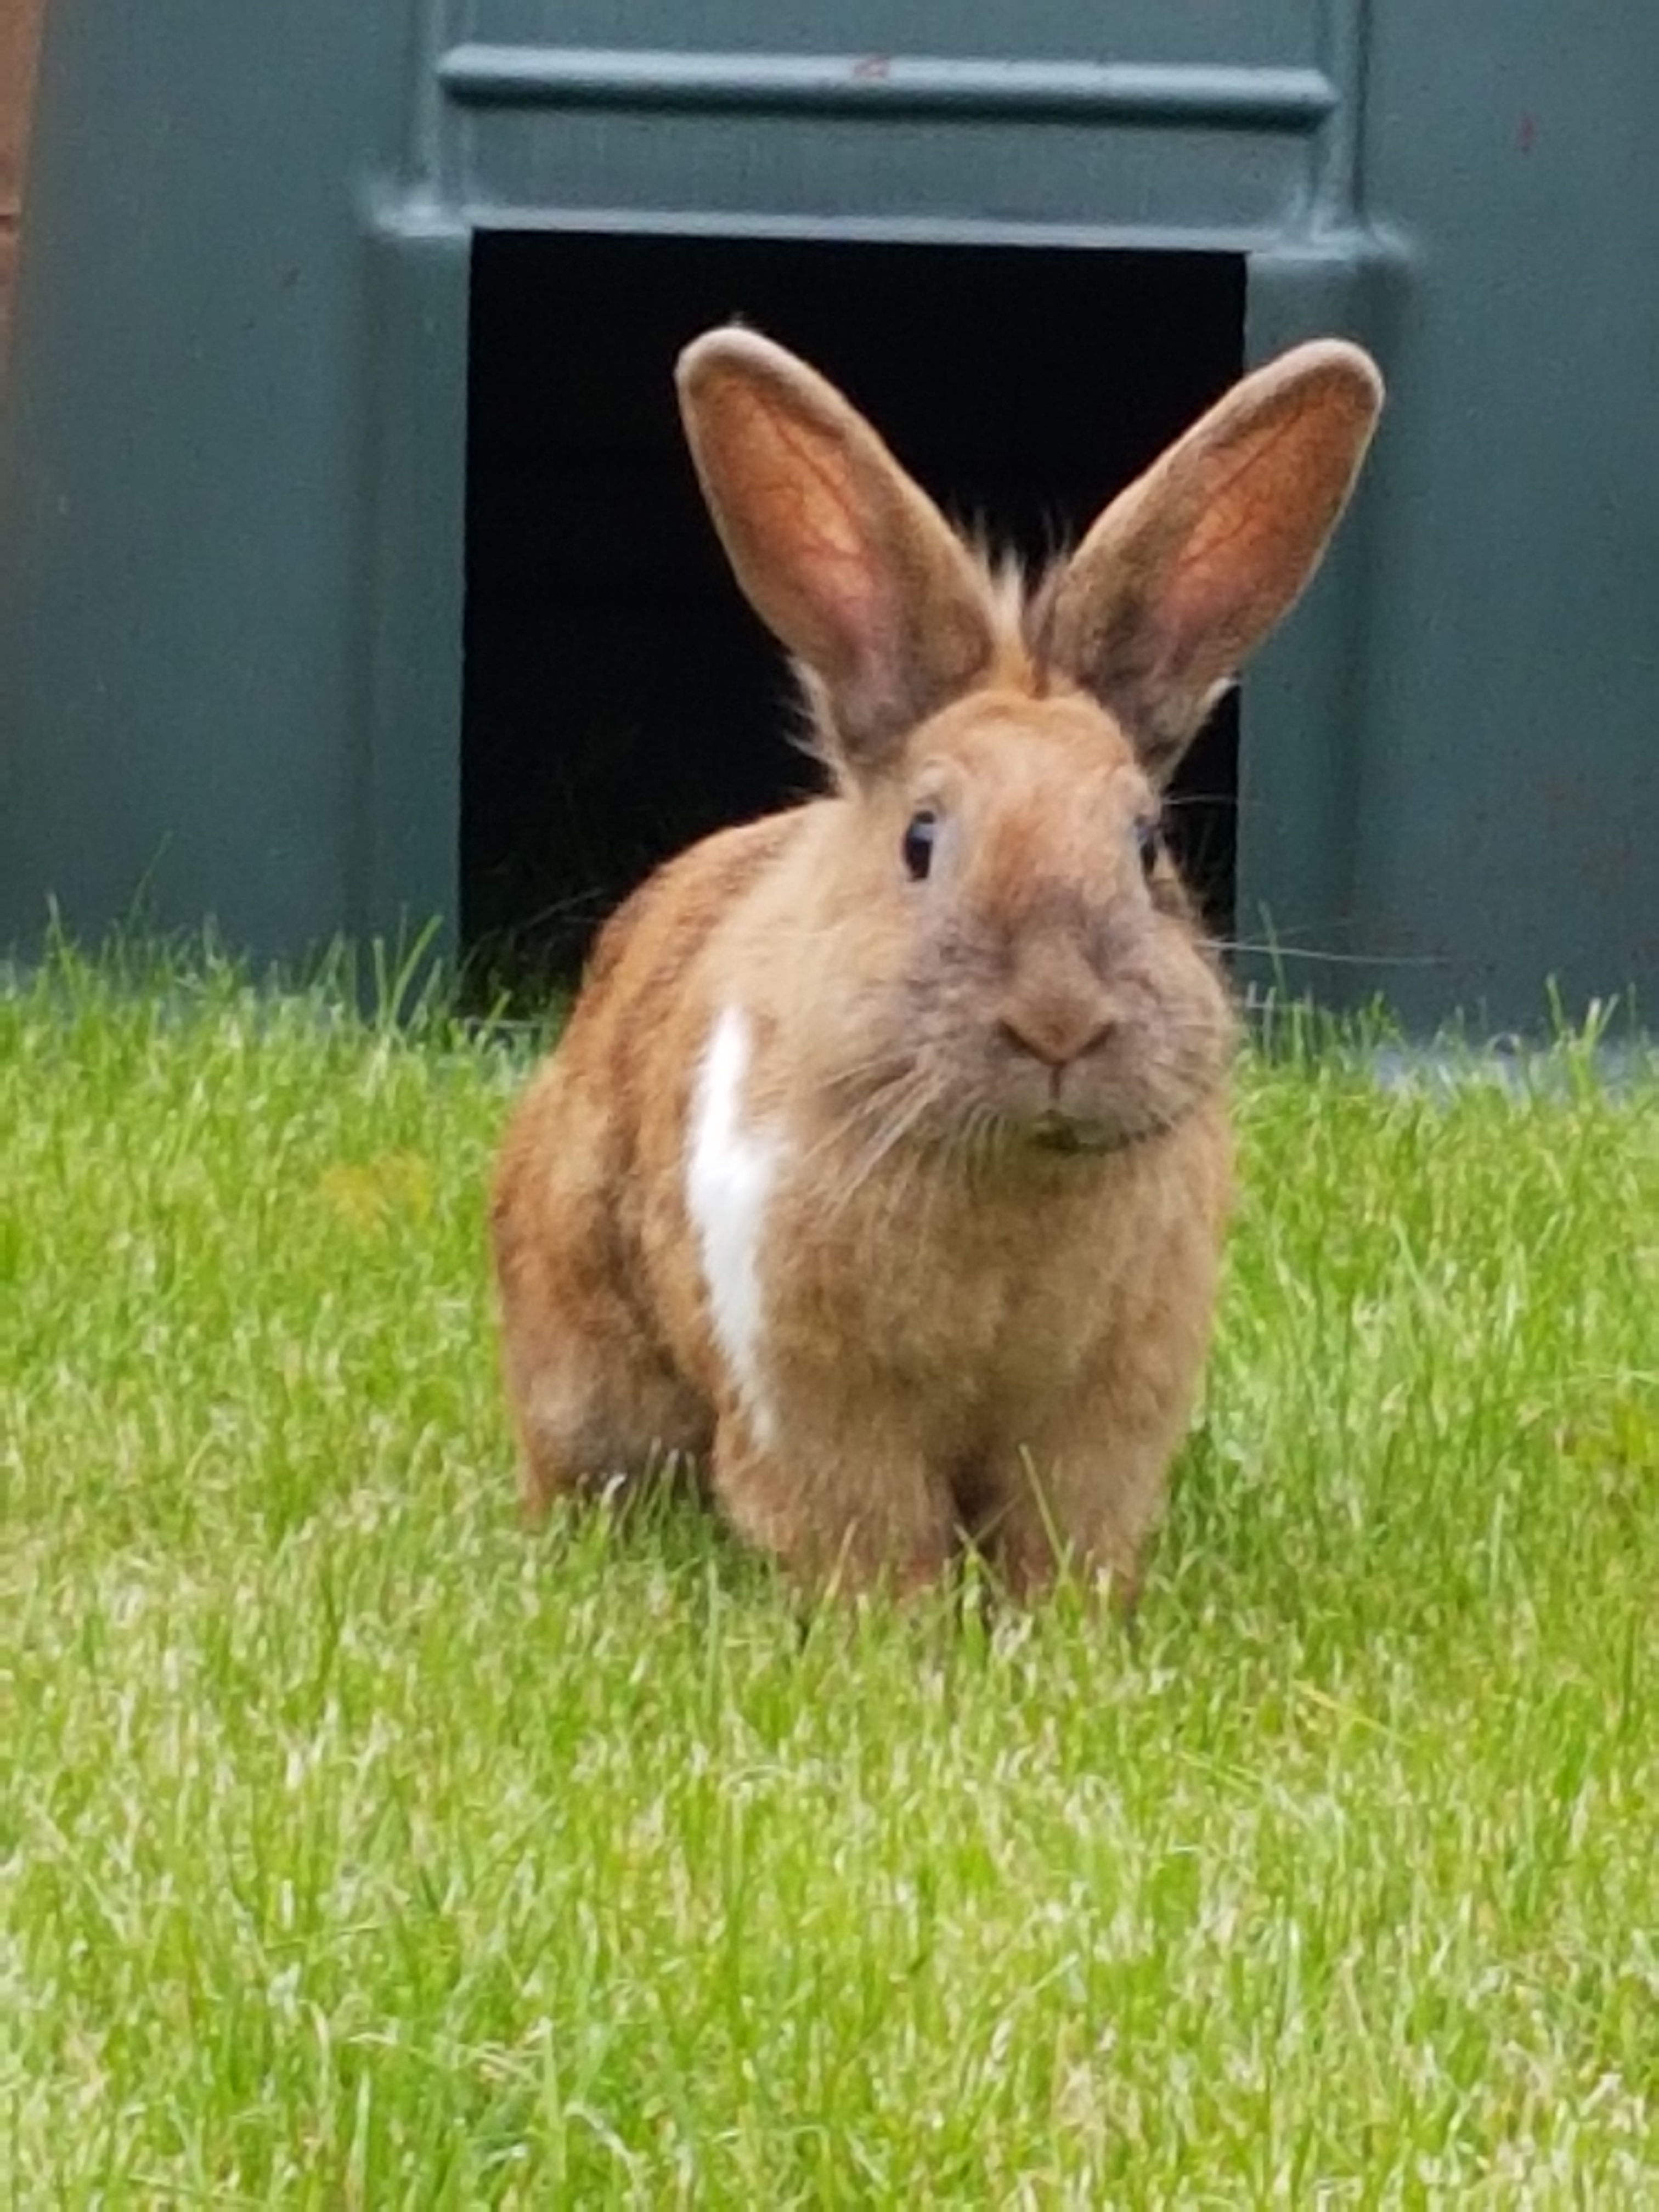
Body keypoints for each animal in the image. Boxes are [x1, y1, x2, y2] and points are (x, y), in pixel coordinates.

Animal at [491, 324, 1382, 1606]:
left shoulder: (1107, 1419)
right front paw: (897, 1634)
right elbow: (870, 1533)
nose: (1057, 1021)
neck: (1013, 1176)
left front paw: (1058, 1633)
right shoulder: (814, 1403)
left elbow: (1063, 1538)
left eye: (1146, 845)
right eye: (921, 840)